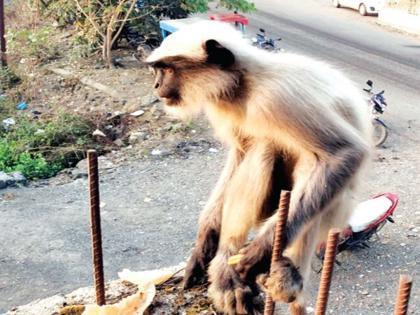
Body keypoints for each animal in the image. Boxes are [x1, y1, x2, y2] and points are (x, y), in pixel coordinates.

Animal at [146, 21, 372, 315]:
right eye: (158, 70)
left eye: (168, 69)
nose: (156, 85)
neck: (243, 85)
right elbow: (240, 153)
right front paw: (203, 245)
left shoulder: (277, 96)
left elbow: (345, 153)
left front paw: (260, 251)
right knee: (261, 150)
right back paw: (228, 265)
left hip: (335, 213)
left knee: (292, 156)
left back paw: (282, 274)